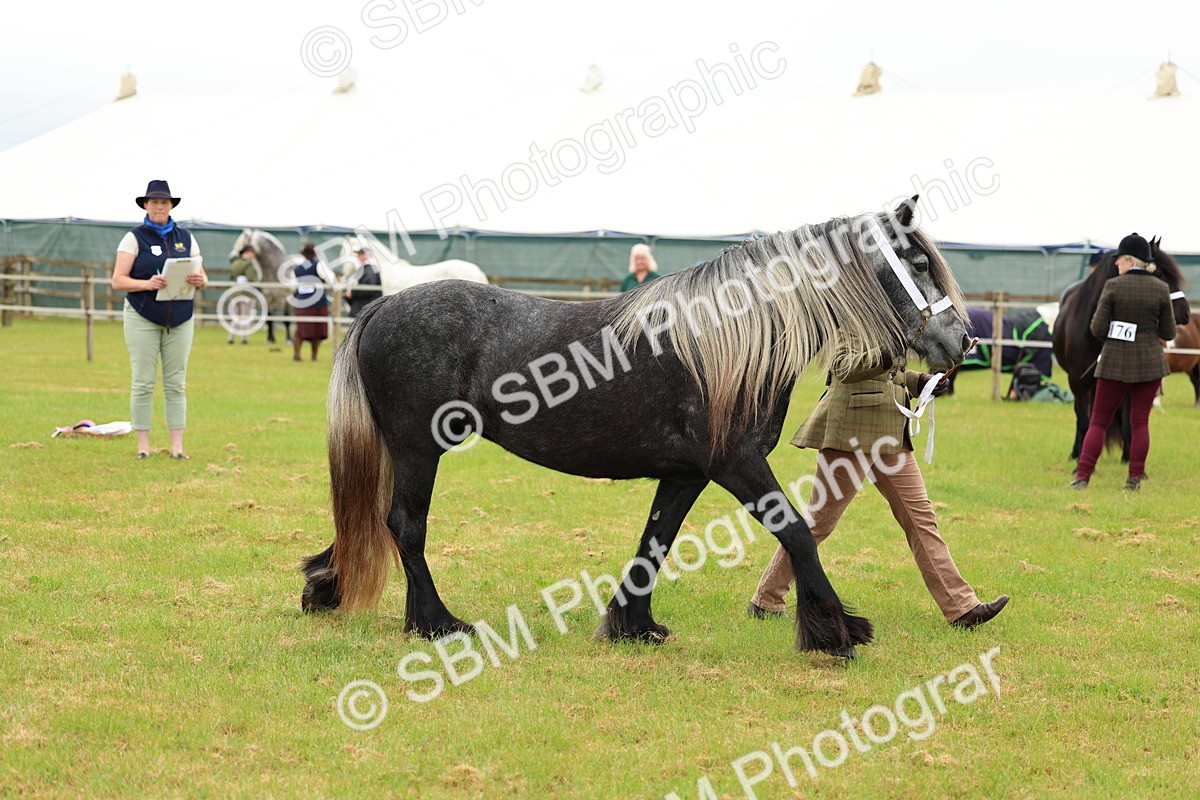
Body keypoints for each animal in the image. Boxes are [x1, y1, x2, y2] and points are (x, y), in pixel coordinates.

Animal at [300, 197, 972, 659]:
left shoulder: (686, 474)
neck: (727, 340)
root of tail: (383, 305)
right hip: (420, 448)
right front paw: (836, 632)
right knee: (405, 525)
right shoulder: (738, 465)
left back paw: (330, 588)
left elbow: (656, 542)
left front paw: (634, 626)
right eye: (918, 261)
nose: (960, 343)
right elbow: (799, 534)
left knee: (374, 520)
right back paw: (436, 622)